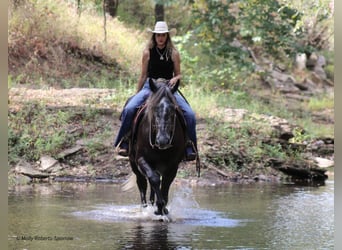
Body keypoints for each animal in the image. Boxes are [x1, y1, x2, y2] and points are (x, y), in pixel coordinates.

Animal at [129, 78, 187, 215]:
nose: (163, 140)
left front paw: (162, 208)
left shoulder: (173, 165)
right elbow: (154, 179)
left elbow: (165, 184)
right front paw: (159, 206)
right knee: (142, 183)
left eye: (173, 110)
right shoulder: (141, 159)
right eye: (154, 108)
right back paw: (145, 208)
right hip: (134, 164)